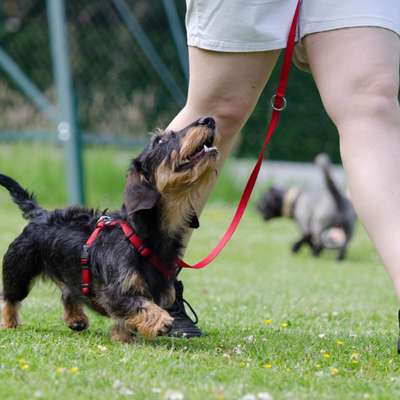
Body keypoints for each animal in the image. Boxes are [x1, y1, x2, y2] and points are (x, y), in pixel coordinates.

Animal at [0, 117, 219, 342]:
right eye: (159, 141)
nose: (208, 120)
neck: (140, 234)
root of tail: (40, 214)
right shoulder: (115, 292)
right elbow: (140, 305)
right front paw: (161, 320)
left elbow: (127, 318)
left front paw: (123, 337)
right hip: (18, 270)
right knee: (9, 298)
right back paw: (9, 323)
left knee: (68, 292)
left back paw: (76, 318)